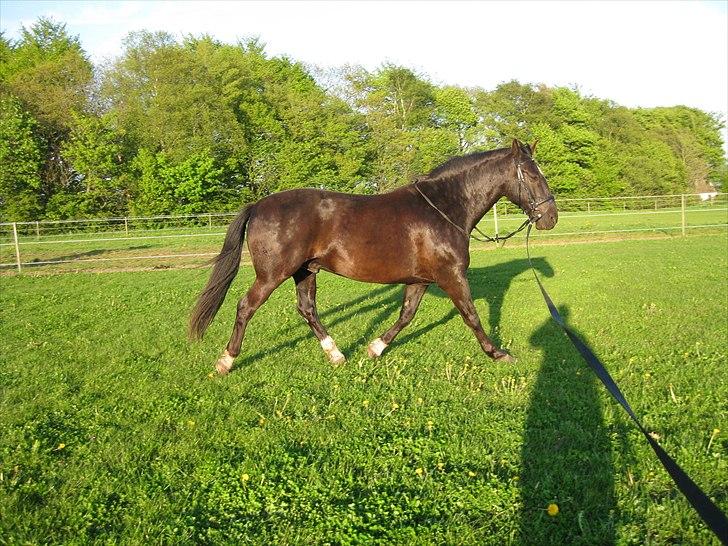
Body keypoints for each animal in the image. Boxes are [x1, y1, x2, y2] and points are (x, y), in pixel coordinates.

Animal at [188, 138, 556, 372]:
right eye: (532, 175)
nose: (550, 218)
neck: (442, 208)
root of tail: (258, 205)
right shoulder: (451, 276)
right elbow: (472, 316)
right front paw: (498, 354)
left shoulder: (420, 280)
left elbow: (406, 316)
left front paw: (375, 348)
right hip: (272, 275)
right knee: (245, 307)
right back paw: (226, 361)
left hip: (306, 271)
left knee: (307, 310)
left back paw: (336, 355)